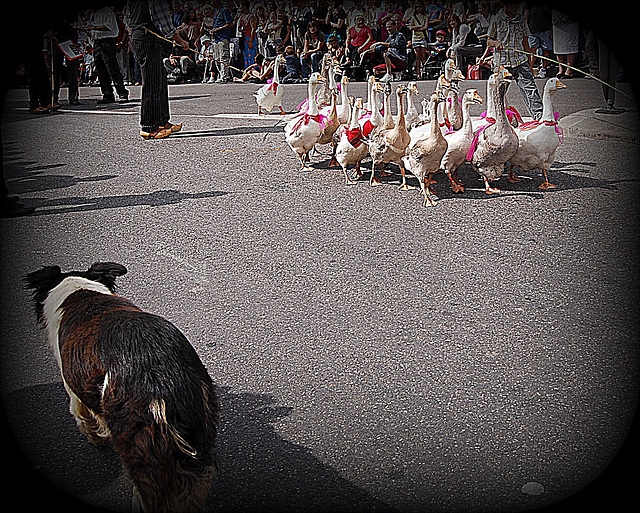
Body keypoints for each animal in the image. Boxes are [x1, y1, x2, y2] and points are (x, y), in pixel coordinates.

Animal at [24, 262, 220, 510]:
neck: (80, 290)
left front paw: (96, 439)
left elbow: (83, 417)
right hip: (199, 433)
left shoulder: (74, 391)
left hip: (137, 444)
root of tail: (160, 382)